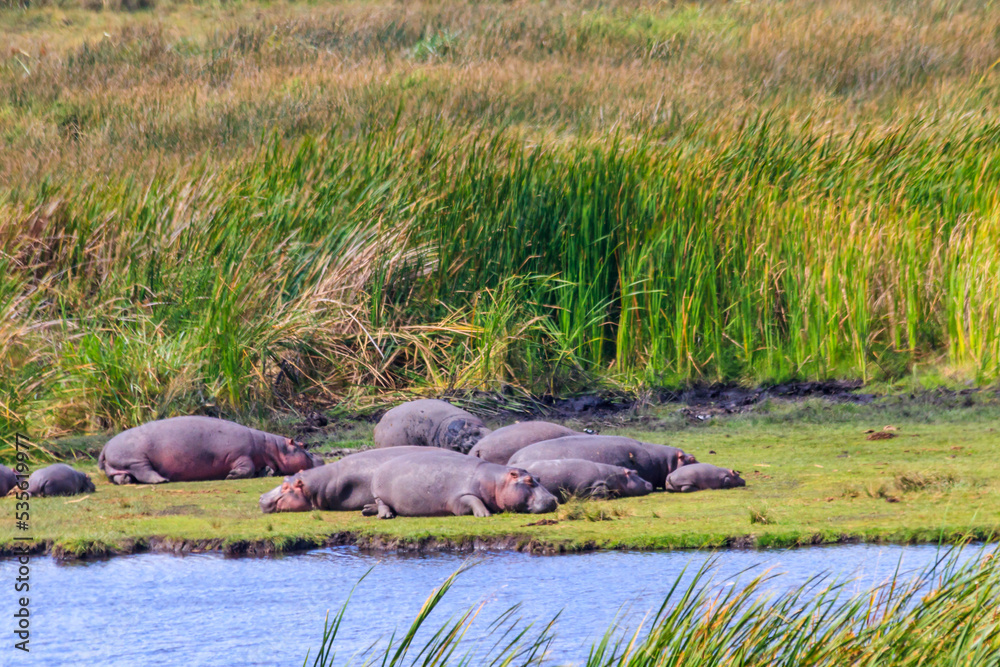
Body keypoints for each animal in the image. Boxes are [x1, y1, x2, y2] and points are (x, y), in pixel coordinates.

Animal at [98, 416, 324, 484]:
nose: (321, 460)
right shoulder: (240, 455)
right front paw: (231, 476)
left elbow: (259, 470)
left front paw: (267, 472)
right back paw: (162, 480)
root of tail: (106, 444)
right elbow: (247, 468)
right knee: (145, 471)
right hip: (136, 458)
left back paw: (126, 480)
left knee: (120, 476)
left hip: (119, 465)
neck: (272, 446)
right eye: (304, 446)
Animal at [361, 449, 558, 518]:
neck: (496, 481)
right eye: (529, 481)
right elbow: (472, 500)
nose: (553, 499)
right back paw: (385, 516)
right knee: (383, 504)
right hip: (379, 492)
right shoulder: (459, 497)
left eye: (538, 477)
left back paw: (366, 510)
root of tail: (380, 468)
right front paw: (484, 514)